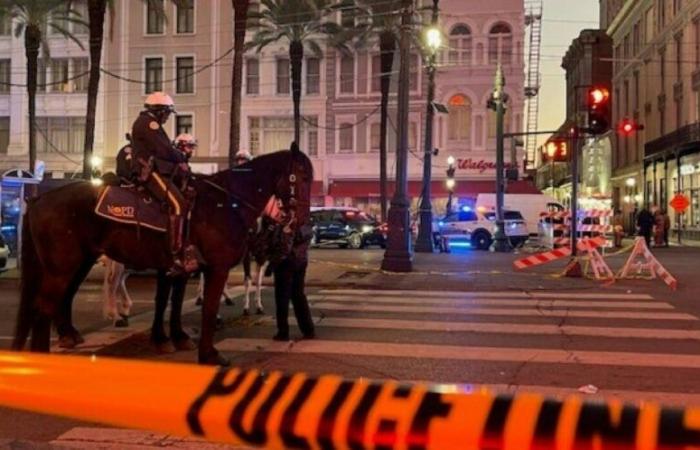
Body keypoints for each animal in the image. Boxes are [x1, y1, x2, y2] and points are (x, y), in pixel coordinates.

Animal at [10, 146, 312, 364]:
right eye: (302, 177)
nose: (301, 224)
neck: (226, 203)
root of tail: (38, 199)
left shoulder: (182, 267)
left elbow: (173, 302)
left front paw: (175, 338)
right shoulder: (216, 268)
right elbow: (206, 306)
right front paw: (208, 354)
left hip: (76, 262)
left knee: (57, 301)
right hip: (64, 266)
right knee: (46, 306)